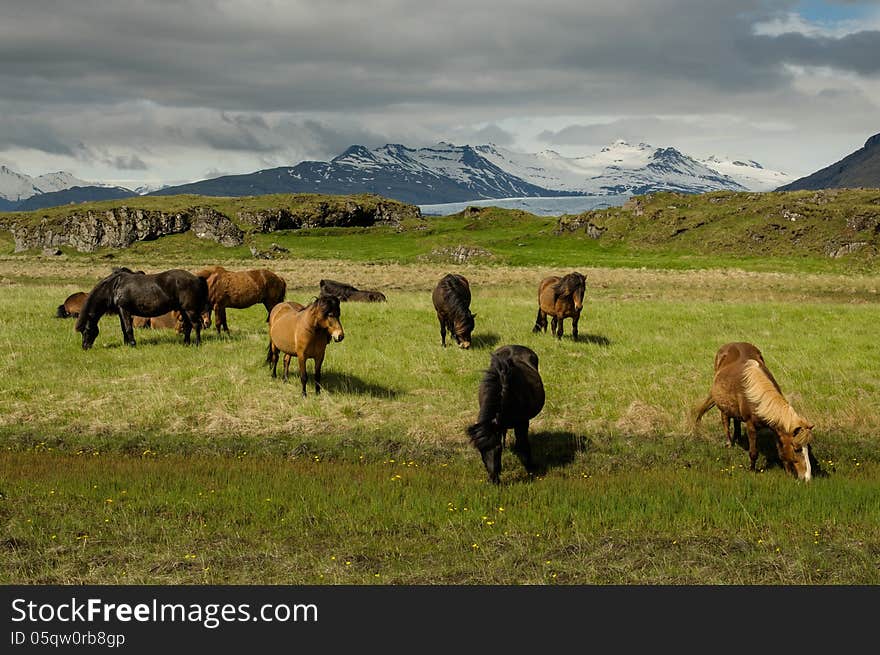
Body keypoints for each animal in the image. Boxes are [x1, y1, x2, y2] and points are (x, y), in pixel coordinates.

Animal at [75, 268, 211, 352]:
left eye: (86, 330)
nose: (84, 347)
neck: (114, 287)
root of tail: (196, 278)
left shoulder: (125, 309)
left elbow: (128, 328)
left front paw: (133, 344)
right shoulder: (120, 311)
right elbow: (124, 329)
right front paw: (127, 344)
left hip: (190, 310)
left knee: (196, 325)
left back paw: (197, 343)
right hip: (183, 310)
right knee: (188, 326)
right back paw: (186, 343)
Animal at [468, 346, 544, 484]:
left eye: (498, 449)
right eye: (481, 451)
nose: (494, 480)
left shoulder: (522, 423)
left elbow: (523, 445)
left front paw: (530, 469)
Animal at [696, 344, 816, 482]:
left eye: (807, 448)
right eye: (797, 449)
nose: (807, 477)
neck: (756, 396)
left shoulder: (777, 430)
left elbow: (781, 452)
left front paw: (788, 473)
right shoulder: (751, 426)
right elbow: (753, 452)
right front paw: (752, 470)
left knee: (736, 420)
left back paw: (737, 438)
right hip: (722, 405)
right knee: (725, 420)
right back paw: (729, 443)